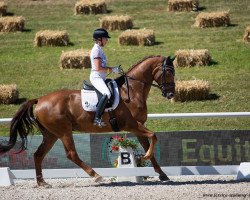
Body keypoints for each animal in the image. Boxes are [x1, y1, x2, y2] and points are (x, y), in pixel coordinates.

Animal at [0, 54, 176, 186]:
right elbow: (154, 136)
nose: (171, 94)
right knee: (71, 154)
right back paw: (96, 175)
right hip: (63, 131)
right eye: (169, 72)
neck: (131, 90)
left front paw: (162, 174)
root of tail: (40, 100)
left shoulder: (138, 126)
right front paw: (143, 158)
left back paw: (42, 182)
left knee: (38, 155)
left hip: (51, 134)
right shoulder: (132, 124)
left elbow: (150, 143)